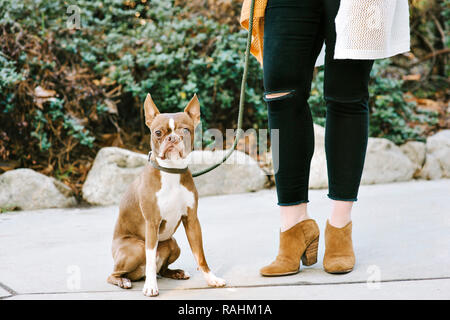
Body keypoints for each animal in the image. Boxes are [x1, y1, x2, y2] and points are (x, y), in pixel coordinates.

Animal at [105, 93, 225, 298]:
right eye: (158, 133)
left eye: (185, 130)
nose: (172, 138)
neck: (172, 171)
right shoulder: (152, 223)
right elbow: (151, 260)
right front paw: (150, 287)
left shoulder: (192, 220)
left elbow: (200, 255)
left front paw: (211, 279)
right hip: (136, 248)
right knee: (115, 273)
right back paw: (123, 281)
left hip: (173, 244)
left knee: (162, 268)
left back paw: (175, 272)